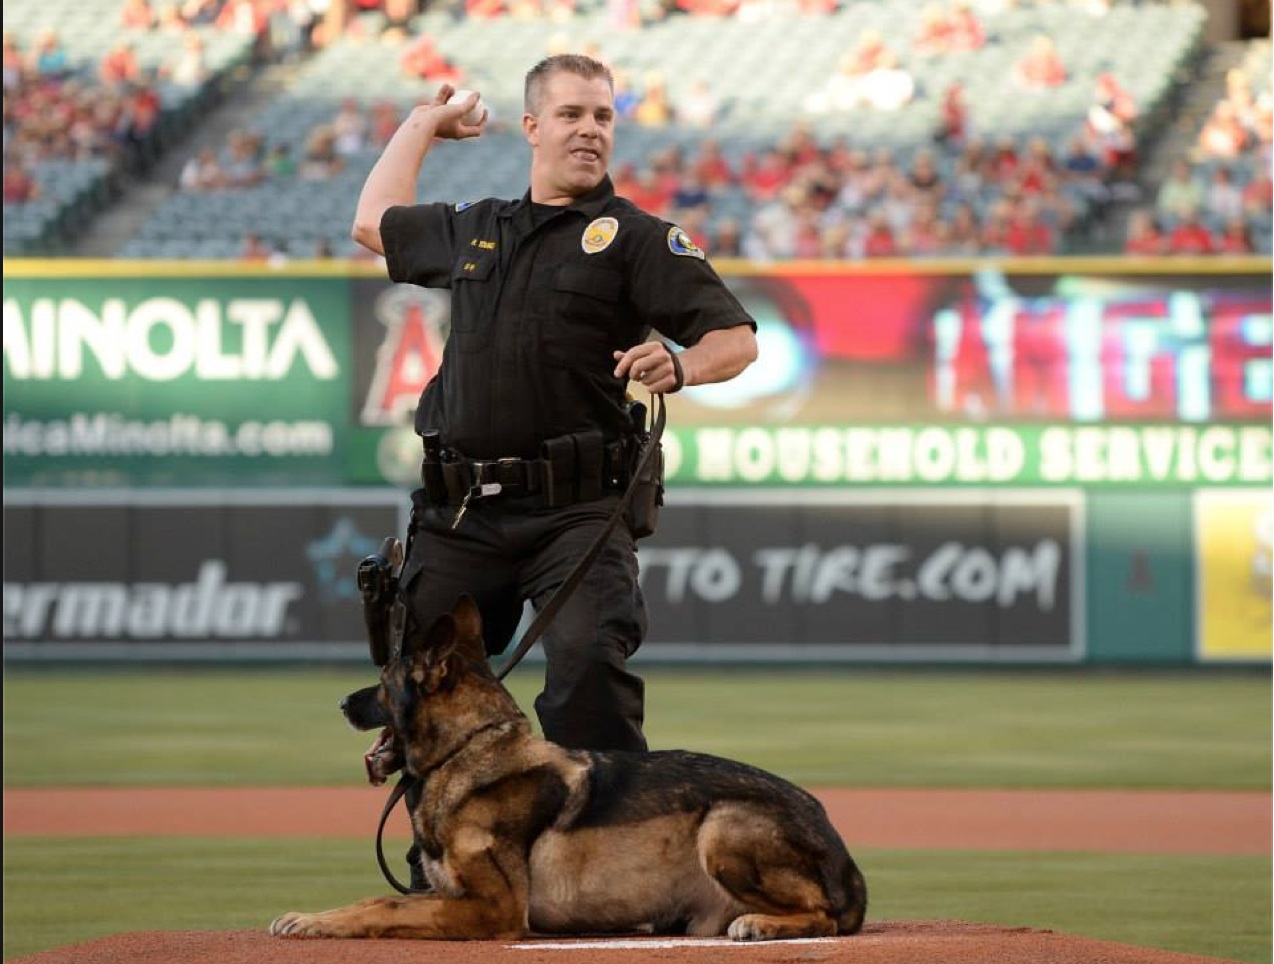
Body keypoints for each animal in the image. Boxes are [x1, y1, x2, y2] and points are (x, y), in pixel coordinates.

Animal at [268, 593, 866, 942]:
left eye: (382, 681)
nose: (341, 704)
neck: (471, 749)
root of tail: (843, 853)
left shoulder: (495, 910)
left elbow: (386, 906)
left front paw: (313, 922)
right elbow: (387, 897)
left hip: (723, 824)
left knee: (824, 916)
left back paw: (762, 923)